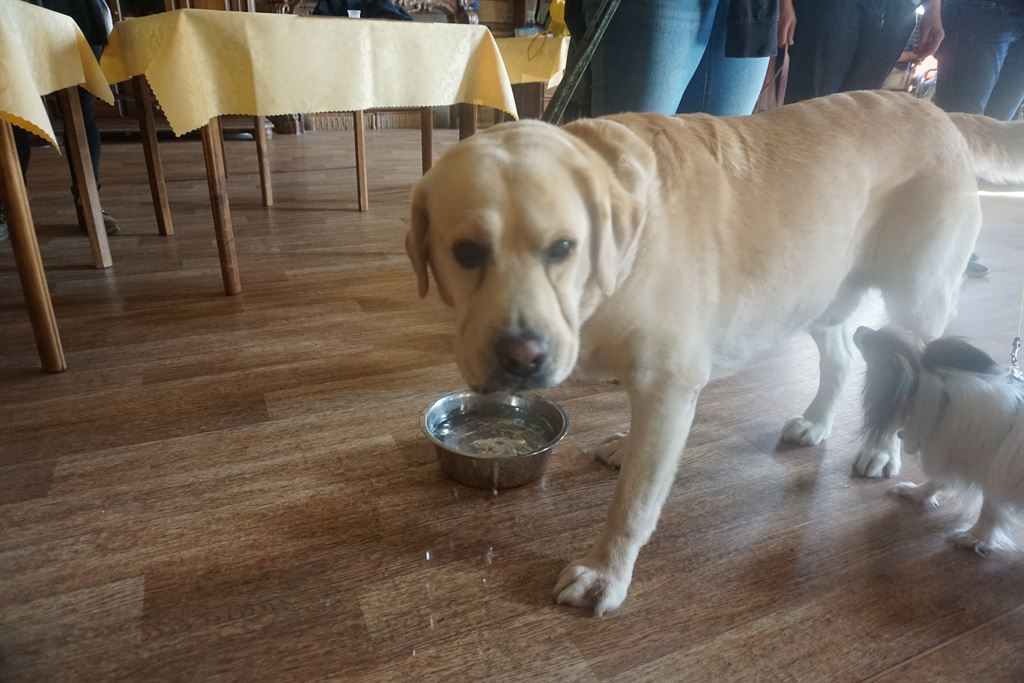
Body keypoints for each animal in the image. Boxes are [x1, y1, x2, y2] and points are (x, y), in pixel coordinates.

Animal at [855, 325, 1024, 554]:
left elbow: (990, 510)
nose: (859, 328)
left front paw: (975, 537)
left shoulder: (992, 474)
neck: (935, 396)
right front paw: (915, 493)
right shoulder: (951, 455)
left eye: (869, 342)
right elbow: (935, 482)